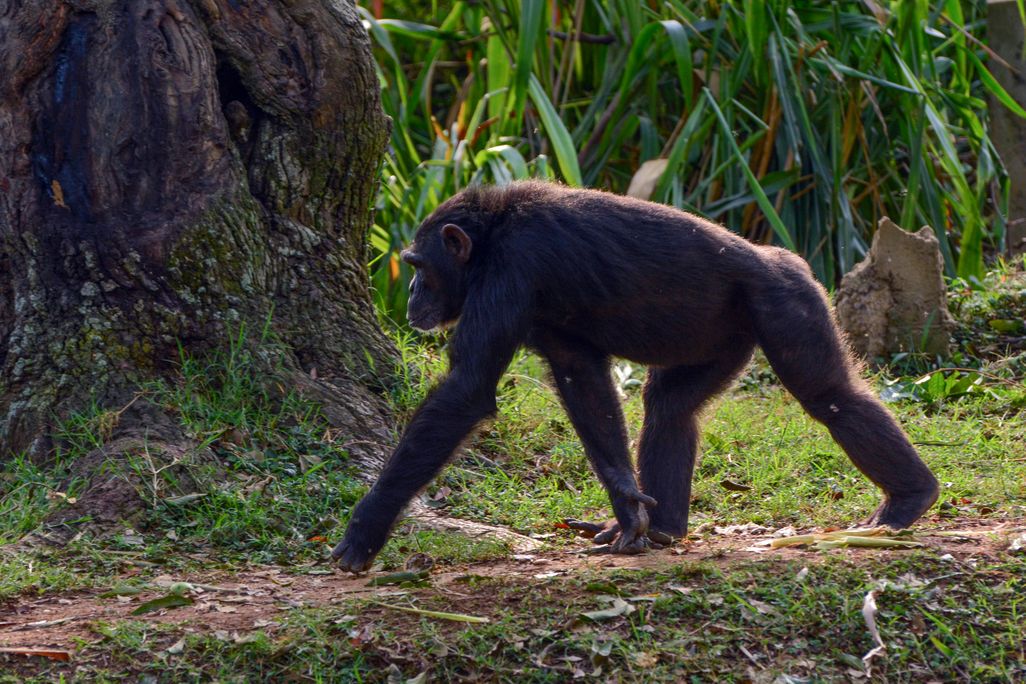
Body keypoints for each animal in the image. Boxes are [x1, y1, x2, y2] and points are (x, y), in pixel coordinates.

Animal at [332, 181, 939, 572]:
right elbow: (585, 387)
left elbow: (465, 392)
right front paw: (626, 507)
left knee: (830, 394)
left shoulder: (509, 272)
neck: (490, 240)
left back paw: (909, 497)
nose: (412, 292)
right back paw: (666, 524)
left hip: (787, 303)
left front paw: (365, 528)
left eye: (418, 266)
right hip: (726, 339)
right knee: (669, 406)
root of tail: (783, 258)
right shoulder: (551, 328)